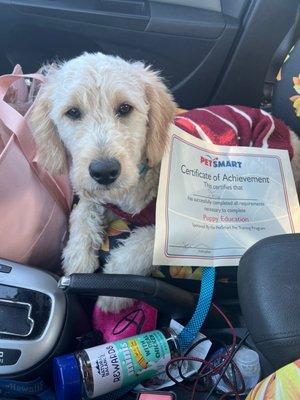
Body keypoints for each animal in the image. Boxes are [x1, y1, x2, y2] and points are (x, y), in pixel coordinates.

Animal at [29, 52, 176, 312]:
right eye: (73, 112)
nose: (105, 171)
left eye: (125, 108)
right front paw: (77, 256)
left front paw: (112, 294)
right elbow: (82, 212)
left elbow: (145, 244)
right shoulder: (96, 195)